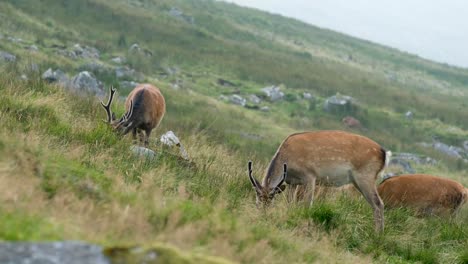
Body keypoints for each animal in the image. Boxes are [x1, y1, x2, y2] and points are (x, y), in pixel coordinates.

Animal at [249, 129, 392, 231]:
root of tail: (384, 154)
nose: (263, 213)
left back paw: (377, 235)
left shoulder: (310, 175)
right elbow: (290, 203)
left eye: (270, 199)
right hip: (358, 181)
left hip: (366, 175)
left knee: (378, 203)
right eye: (257, 197)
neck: (287, 160)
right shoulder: (291, 182)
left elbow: (307, 203)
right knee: (375, 204)